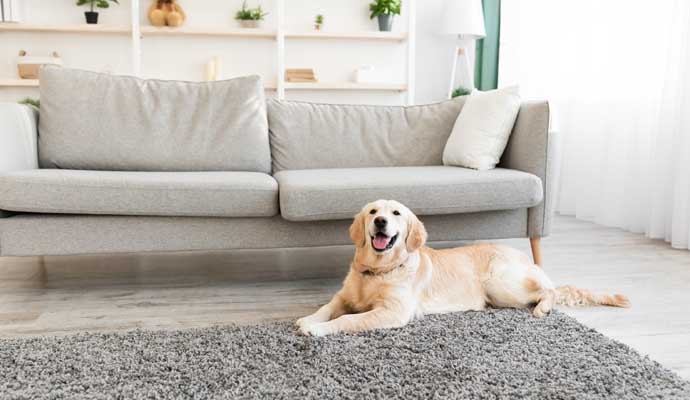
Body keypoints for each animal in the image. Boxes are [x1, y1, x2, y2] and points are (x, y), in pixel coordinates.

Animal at [292, 198, 628, 336]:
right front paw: (308, 319)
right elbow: (328, 306)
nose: (381, 222)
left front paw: (317, 329)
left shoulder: (393, 312)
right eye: (373, 211)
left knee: (550, 290)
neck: (378, 270)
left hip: (501, 283)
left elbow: (348, 320)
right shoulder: (344, 296)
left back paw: (543, 307)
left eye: (396, 213)